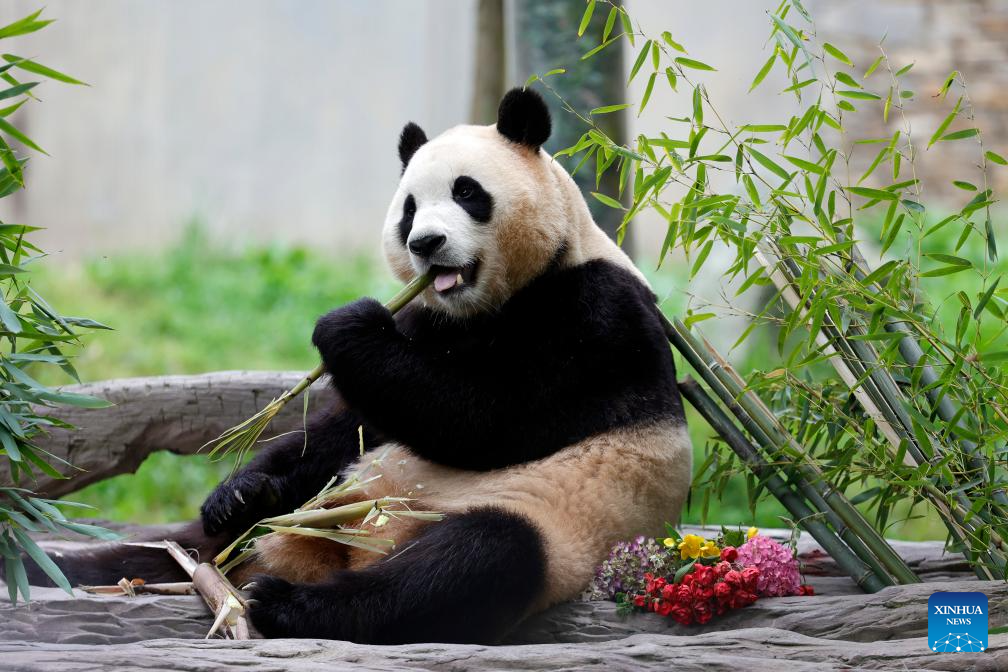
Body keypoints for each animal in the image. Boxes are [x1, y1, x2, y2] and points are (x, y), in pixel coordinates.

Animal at [17, 86, 693, 644]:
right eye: (410, 207)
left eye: (467, 192)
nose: (426, 244)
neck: (491, 304)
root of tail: (341, 550)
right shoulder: (431, 323)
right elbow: (357, 422)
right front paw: (239, 488)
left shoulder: (599, 316)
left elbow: (489, 418)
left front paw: (345, 325)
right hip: (302, 512)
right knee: (186, 545)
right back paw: (50, 564)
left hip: (551, 529)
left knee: (468, 564)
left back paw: (282, 603)